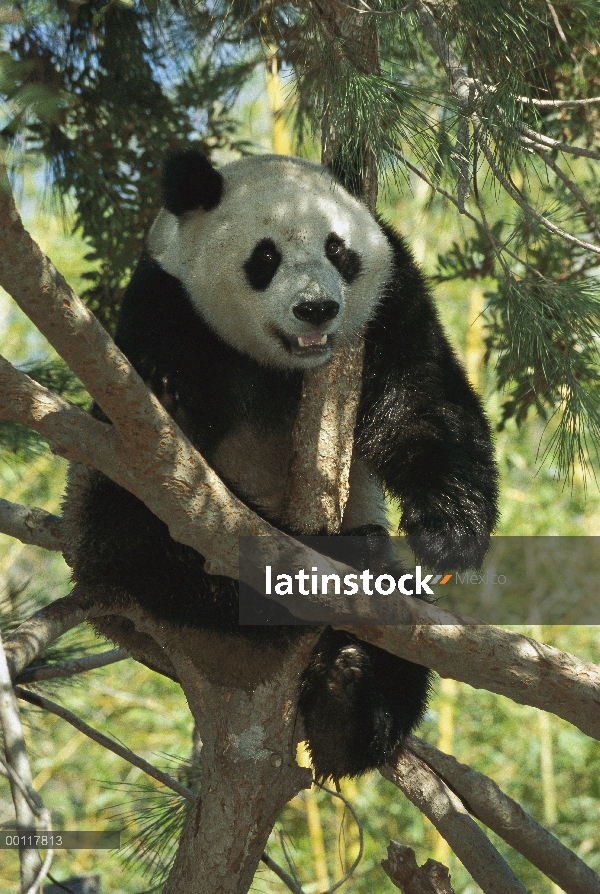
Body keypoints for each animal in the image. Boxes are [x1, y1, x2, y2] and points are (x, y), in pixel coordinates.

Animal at [63, 150, 500, 780]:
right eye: (264, 258)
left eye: (339, 251)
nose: (316, 308)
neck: (280, 364)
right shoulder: (167, 318)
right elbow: (148, 486)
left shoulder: (390, 303)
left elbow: (421, 401)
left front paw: (450, 530)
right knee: (138, 543)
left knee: (397, 646)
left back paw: (348, 700)